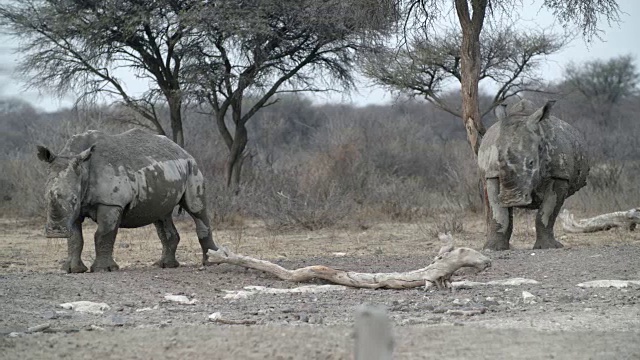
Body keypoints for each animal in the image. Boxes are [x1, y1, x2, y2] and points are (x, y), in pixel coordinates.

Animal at [37, 128, 218, 272]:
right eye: (46, 198)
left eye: (74, 199)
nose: (55, 233)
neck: (82, 168)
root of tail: (182, 150)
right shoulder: (74, 211)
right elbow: (75, 238)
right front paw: (73, 270)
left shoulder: (110, 203)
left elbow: (103, 234)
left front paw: (104, 269)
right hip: (166, 172)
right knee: (161, 216)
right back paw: (165, 265)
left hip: (192, 167)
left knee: (196, 209)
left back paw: (211, 262)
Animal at [478, 99, 588, 250]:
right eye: (498, 163)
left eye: (531, 163)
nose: (511, 199)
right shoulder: (492, 173)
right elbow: (499, 212)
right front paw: (492, 248)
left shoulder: (559, 174)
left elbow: (547, 212)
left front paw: (549, 247)